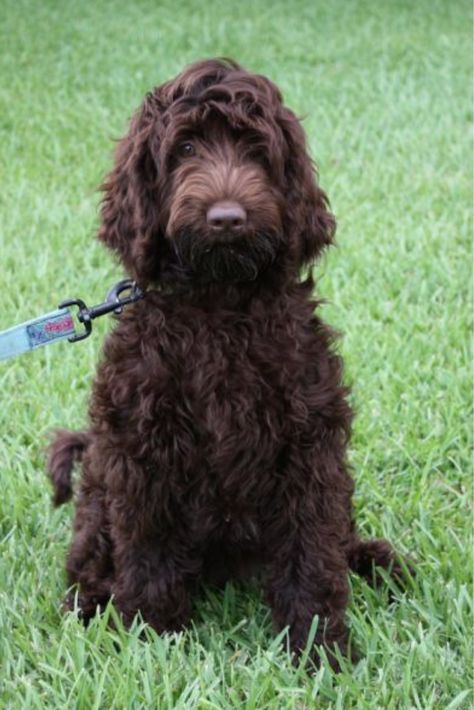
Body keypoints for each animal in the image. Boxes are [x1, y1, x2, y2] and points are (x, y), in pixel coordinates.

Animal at [48, 58, 406, 672]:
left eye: (256, 150)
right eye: (186, 147)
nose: (227, 219)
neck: (218, 303)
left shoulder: (308, 445)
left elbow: (313, 547)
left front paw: (320, 649)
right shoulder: (143, 448)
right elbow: (149, 549)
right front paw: (151, 638)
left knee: (338, 533)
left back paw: (375, 561)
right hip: (99, 480)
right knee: (90, 553)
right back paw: (88, 603)